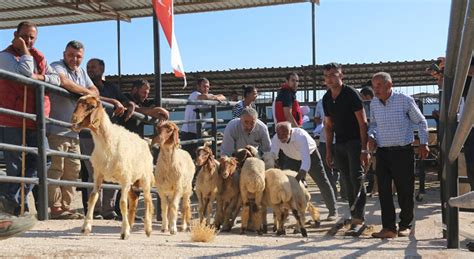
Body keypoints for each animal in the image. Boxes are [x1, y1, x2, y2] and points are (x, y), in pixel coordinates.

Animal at [71, 94, 156, 241]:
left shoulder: (124, 179)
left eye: (91, 106)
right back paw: (131, 224)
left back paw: (148, 228)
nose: (74, 119)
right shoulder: (98, 175)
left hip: (144, 178)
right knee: (134, 200)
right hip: (132, 182)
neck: (106, 141)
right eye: (78, 103)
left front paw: (124, 232)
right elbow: (92, 198)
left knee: (147, 200)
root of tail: (145, 141)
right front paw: (86, 228)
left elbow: (122, 203)